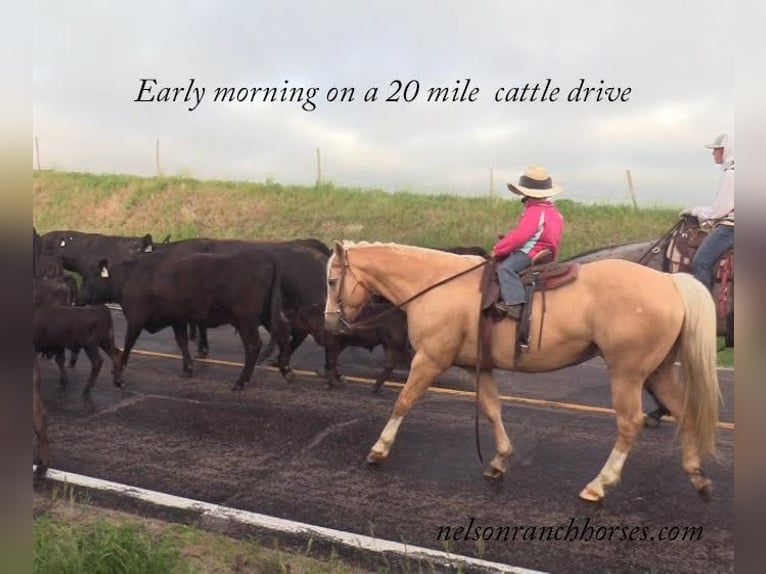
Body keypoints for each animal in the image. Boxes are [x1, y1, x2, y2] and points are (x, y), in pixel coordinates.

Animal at [80, 251, 292, 392]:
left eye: (87, 279)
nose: (79, 299)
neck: (130, 275)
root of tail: (267, 259)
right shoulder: (177, 319)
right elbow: (182, 342)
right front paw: (188, 369)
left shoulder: (136, 318)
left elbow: (128, 343)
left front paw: (119, 371)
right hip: (265, 315)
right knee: (282, 333)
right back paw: (286, 370)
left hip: (246, 319)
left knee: (254, 345)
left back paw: (241, 381)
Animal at [328, 243, 724, 504]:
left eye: (332, 281)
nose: (332, 322)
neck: (438, 284)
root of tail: (670, 283)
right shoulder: (479, 367)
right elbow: (492, 410)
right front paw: (500, 460)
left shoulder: (429, 359)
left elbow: (403, 401)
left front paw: (378, 450)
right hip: (657, 371)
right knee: (687, 414)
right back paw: (698, 477)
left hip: (627, 374)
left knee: (630, 424)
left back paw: (599, 484)